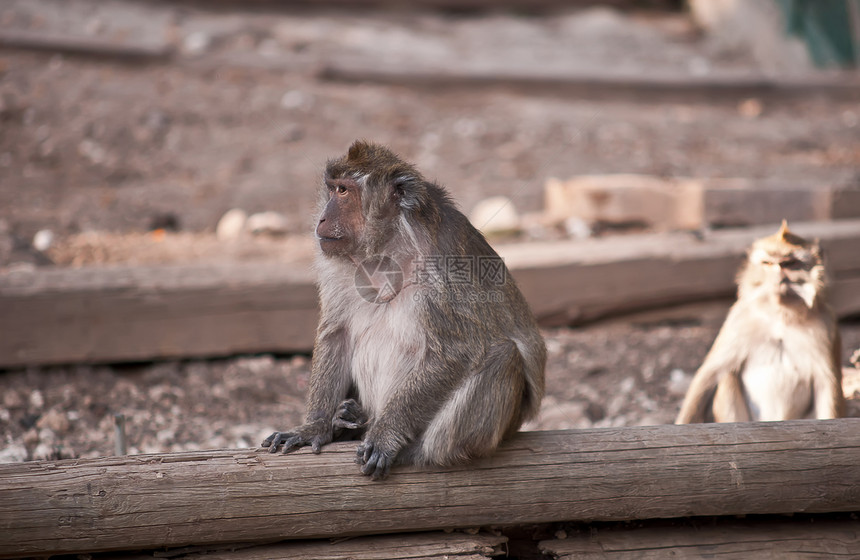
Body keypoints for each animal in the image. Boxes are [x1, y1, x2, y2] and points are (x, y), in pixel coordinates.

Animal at [258, 142, 548, 480]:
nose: (321, 220)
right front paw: (312, 427)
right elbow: (336, 334)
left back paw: (413, 449)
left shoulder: (442, 267)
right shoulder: (338, 266)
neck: (389, 249)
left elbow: (456, 350)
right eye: (331, 189)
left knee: (504, 356)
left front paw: (386, 436)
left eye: (343, 191)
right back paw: (349, 420)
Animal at [676, 221, 844, 422]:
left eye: (790, 264)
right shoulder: (738, 319)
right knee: (727, 374)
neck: (781, 316)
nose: (778, 278)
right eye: (768, 263)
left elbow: (826, 383)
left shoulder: (827, 325)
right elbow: (709, 375)